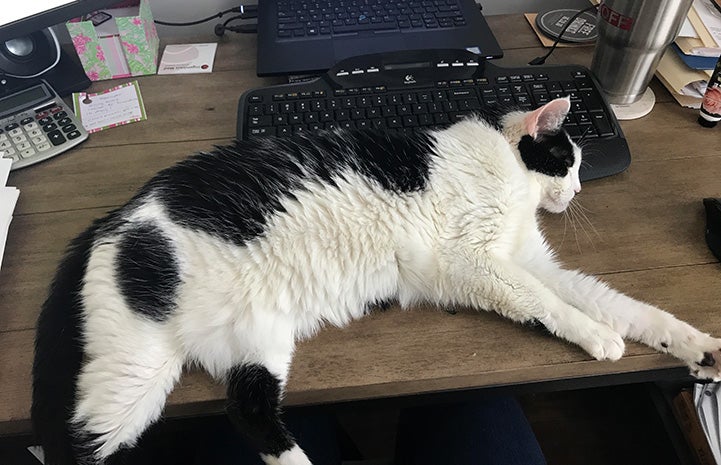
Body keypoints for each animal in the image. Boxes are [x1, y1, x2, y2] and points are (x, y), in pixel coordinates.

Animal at [32, 99, 720, 464]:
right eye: (568, 160)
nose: (576, 190)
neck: (508, 173)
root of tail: (112, 219)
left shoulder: (532, 261)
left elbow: (623, 306)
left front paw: (696, 347)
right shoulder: (477, 263)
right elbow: (548, 303)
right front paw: (598, 338)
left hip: (252, 347)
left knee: (247, 410)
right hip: (134, 369)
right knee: (74, 443)